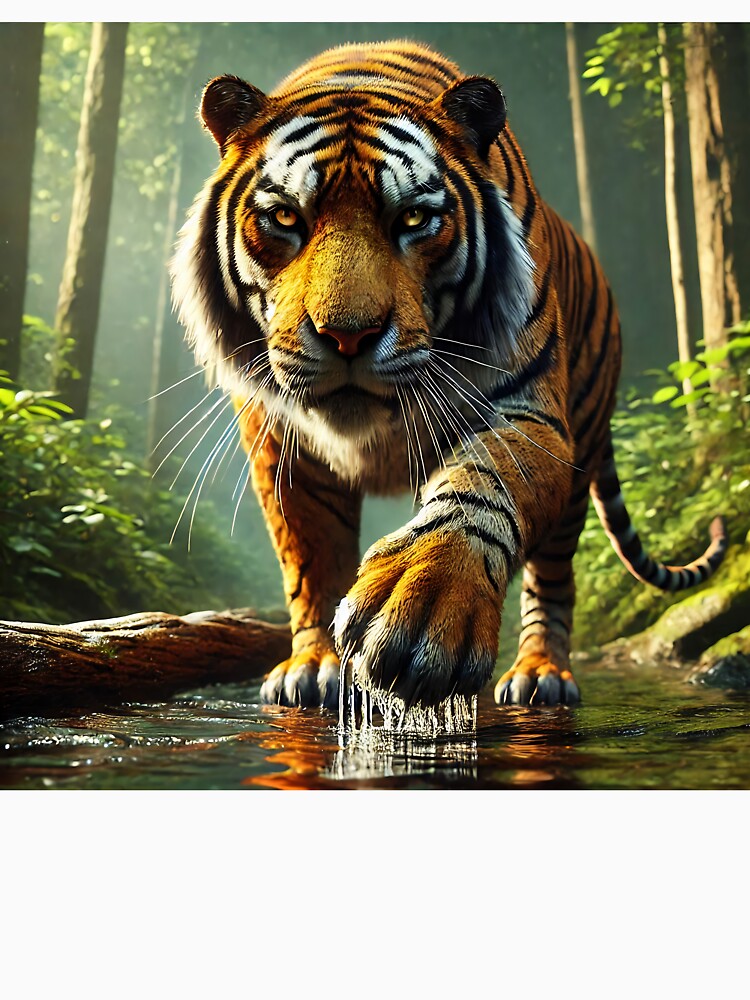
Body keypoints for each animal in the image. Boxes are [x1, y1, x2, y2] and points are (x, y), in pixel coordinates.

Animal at [170, 40, 727, 713]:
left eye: (413, 220)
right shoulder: (280, 438)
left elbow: (480, 490)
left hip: (582, 452)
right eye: (284, 217)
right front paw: (315, 665)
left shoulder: (528, 411)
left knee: (554, 579)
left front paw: (423, 600)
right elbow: (312, 557)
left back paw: (540, 673)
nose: (347, 335)